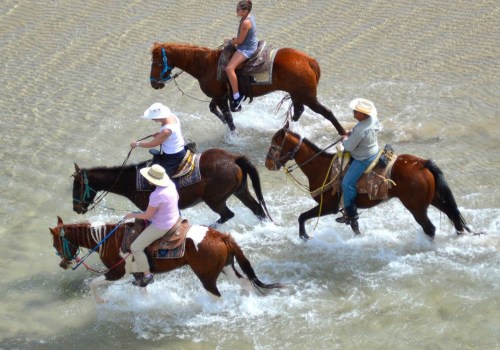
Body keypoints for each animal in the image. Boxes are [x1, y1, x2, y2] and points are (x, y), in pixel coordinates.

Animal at [48, 216, 284, 304]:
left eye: (55, 244)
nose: (62, 263)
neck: (107, 239)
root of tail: (220, 236)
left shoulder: (117, 272)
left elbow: (93, 282)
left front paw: (100, 301)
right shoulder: (138, 274)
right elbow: (143, 291)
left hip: (206, 276)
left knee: (216, 295)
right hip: (227, 267)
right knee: (245, 283)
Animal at [72, 147, 272, 224]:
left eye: (77, 186)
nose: (76, 208)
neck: (131, 181)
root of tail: (233, 158)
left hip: (215, 200)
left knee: (227, 215)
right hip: (240, 191)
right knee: (257, 209)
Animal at [146, 41, 346, 134]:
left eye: (156, 62)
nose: (154, 83)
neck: (206, 65)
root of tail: (307, 59)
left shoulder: (220, 97)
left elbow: (228, 118)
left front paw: (233, 135)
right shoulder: (221, 96)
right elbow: (213, 109)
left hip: (308, 96)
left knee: (326, 112)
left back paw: (343, 133)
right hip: (298, 94)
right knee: (298, 111)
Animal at [266, 128, 472, 241]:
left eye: (274, 145)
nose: (267, 164)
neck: (321, 167)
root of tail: (422, 163)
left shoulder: (328, 206)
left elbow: (302, 217)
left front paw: (304, 236)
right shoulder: (347, 209)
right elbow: (354, 225)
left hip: (417, 208)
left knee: (430, 228)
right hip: (434, 199)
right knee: (453, 216)